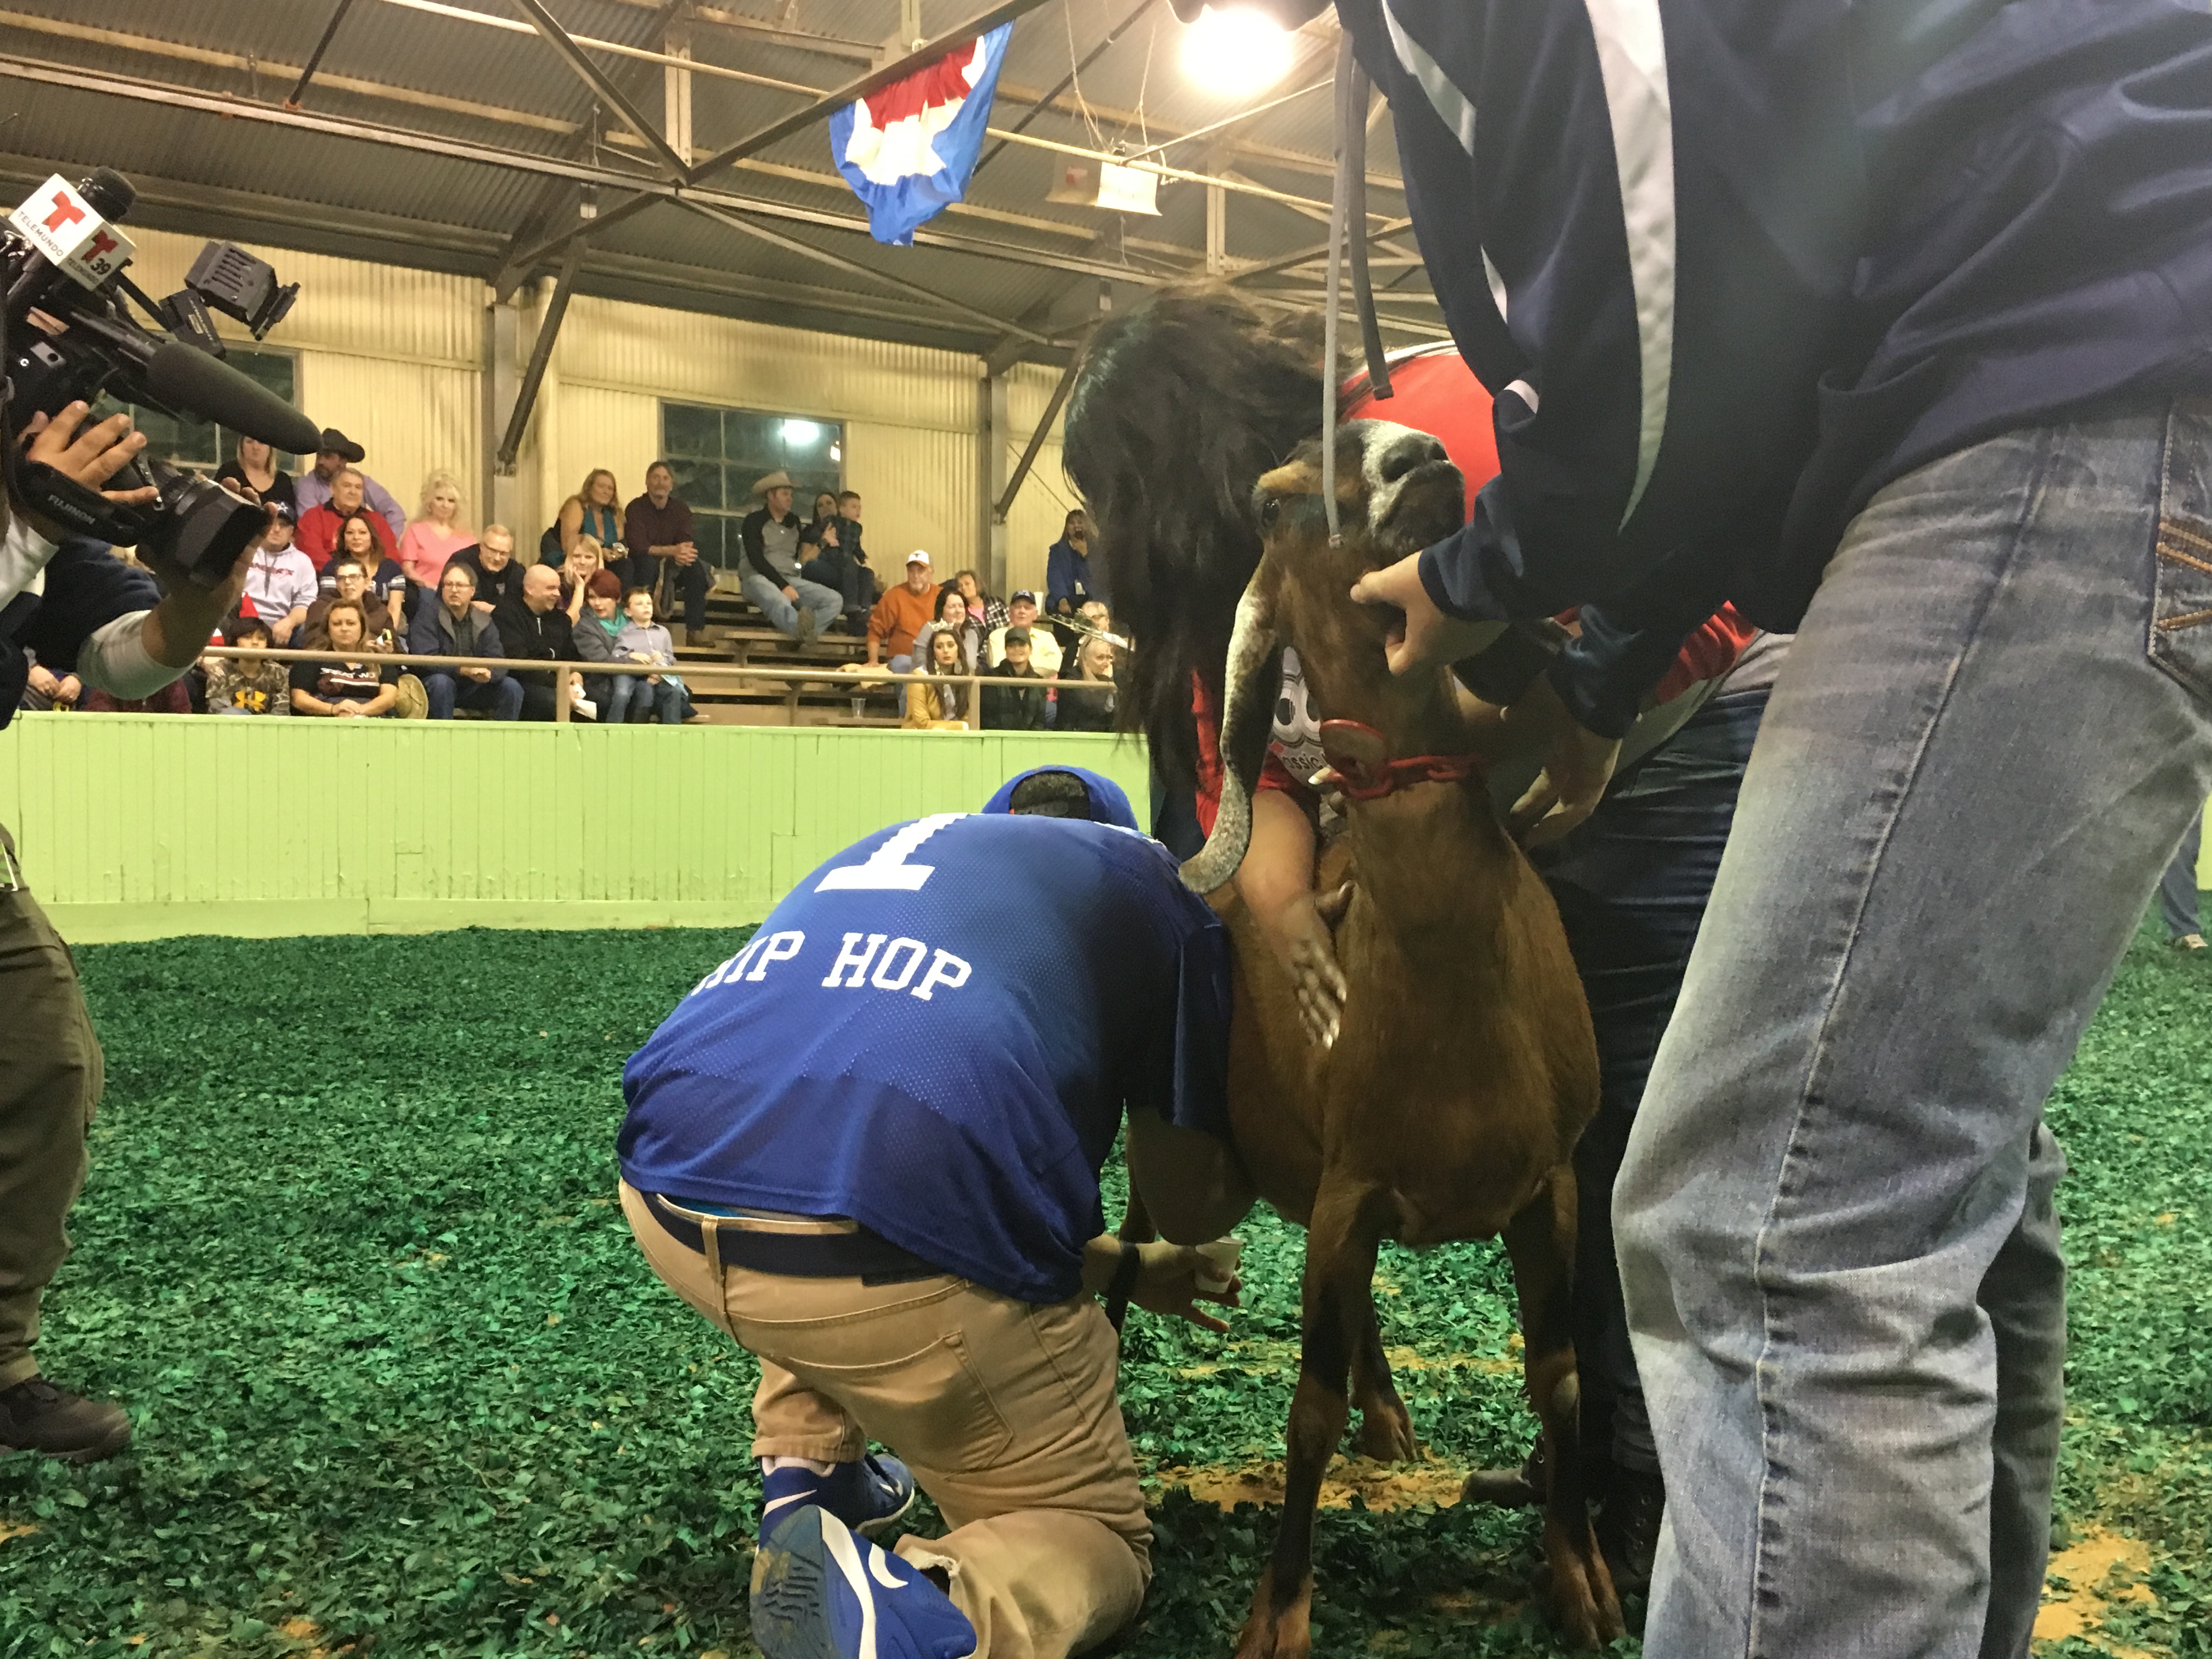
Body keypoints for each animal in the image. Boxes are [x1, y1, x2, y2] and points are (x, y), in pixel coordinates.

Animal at [1185, 418, 1623, 1657]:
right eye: (1273, 502)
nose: (1416, 457)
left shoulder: (1551, 1183)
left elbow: (1560, 1377)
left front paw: (1580, 1574)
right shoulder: (1350, 1184)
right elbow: (1306, 1407)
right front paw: (1279, 1609)